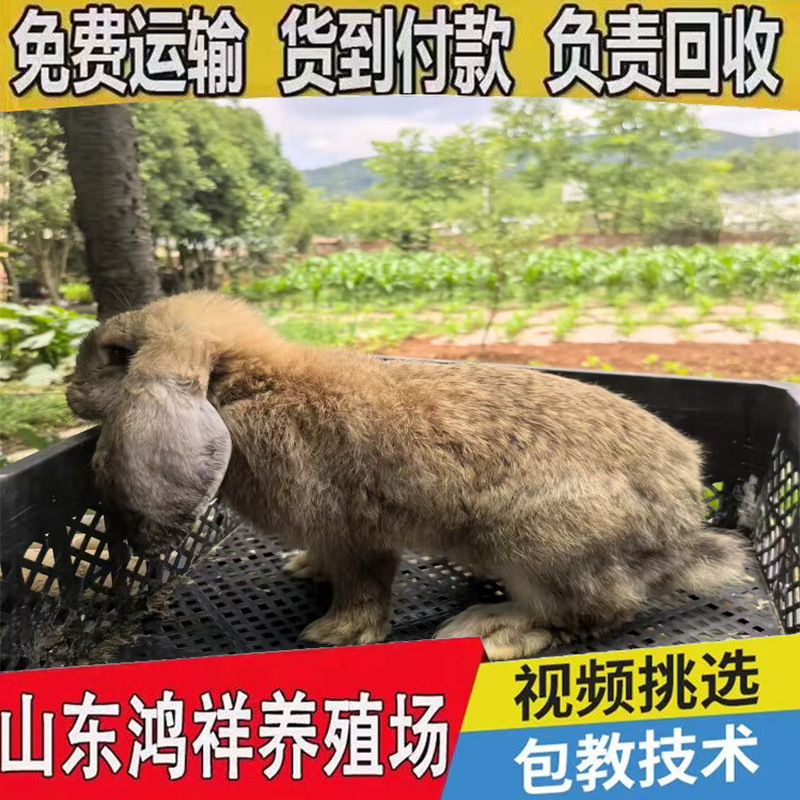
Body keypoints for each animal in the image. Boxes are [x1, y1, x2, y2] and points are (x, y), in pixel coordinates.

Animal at [66, 291, 748, 661]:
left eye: (118, 358)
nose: (69, 395)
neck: (248, 385)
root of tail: (678, 538)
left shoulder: (356, 533)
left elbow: (364, 587)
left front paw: (333, 634)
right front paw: (303, 569)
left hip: (542, 545)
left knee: (590, 612)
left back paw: (488, 629)